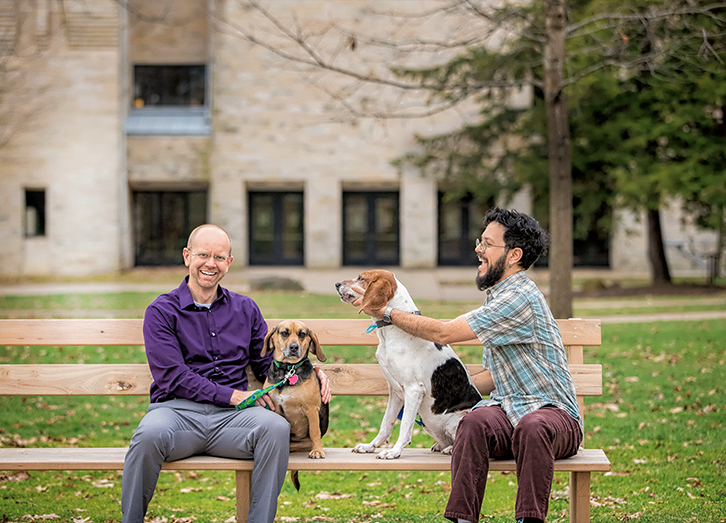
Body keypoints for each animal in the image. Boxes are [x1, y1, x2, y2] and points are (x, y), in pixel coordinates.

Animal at [262, 320, 330, 474]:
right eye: (284, 333)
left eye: (302, 334)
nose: (294, 347)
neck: (287, 371)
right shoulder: (275, 409)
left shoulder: (311, 409)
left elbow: (315, 431)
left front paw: (317, 451)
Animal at [336, 270, 484, 458]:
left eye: (361, 278)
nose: (337, 284)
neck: (389, 331)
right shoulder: (395, 391)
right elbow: (386, 423)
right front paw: (370, 446)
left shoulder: (413, 390)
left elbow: (405, 427)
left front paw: (394, 451)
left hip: (456, 419)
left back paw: (450, 449)